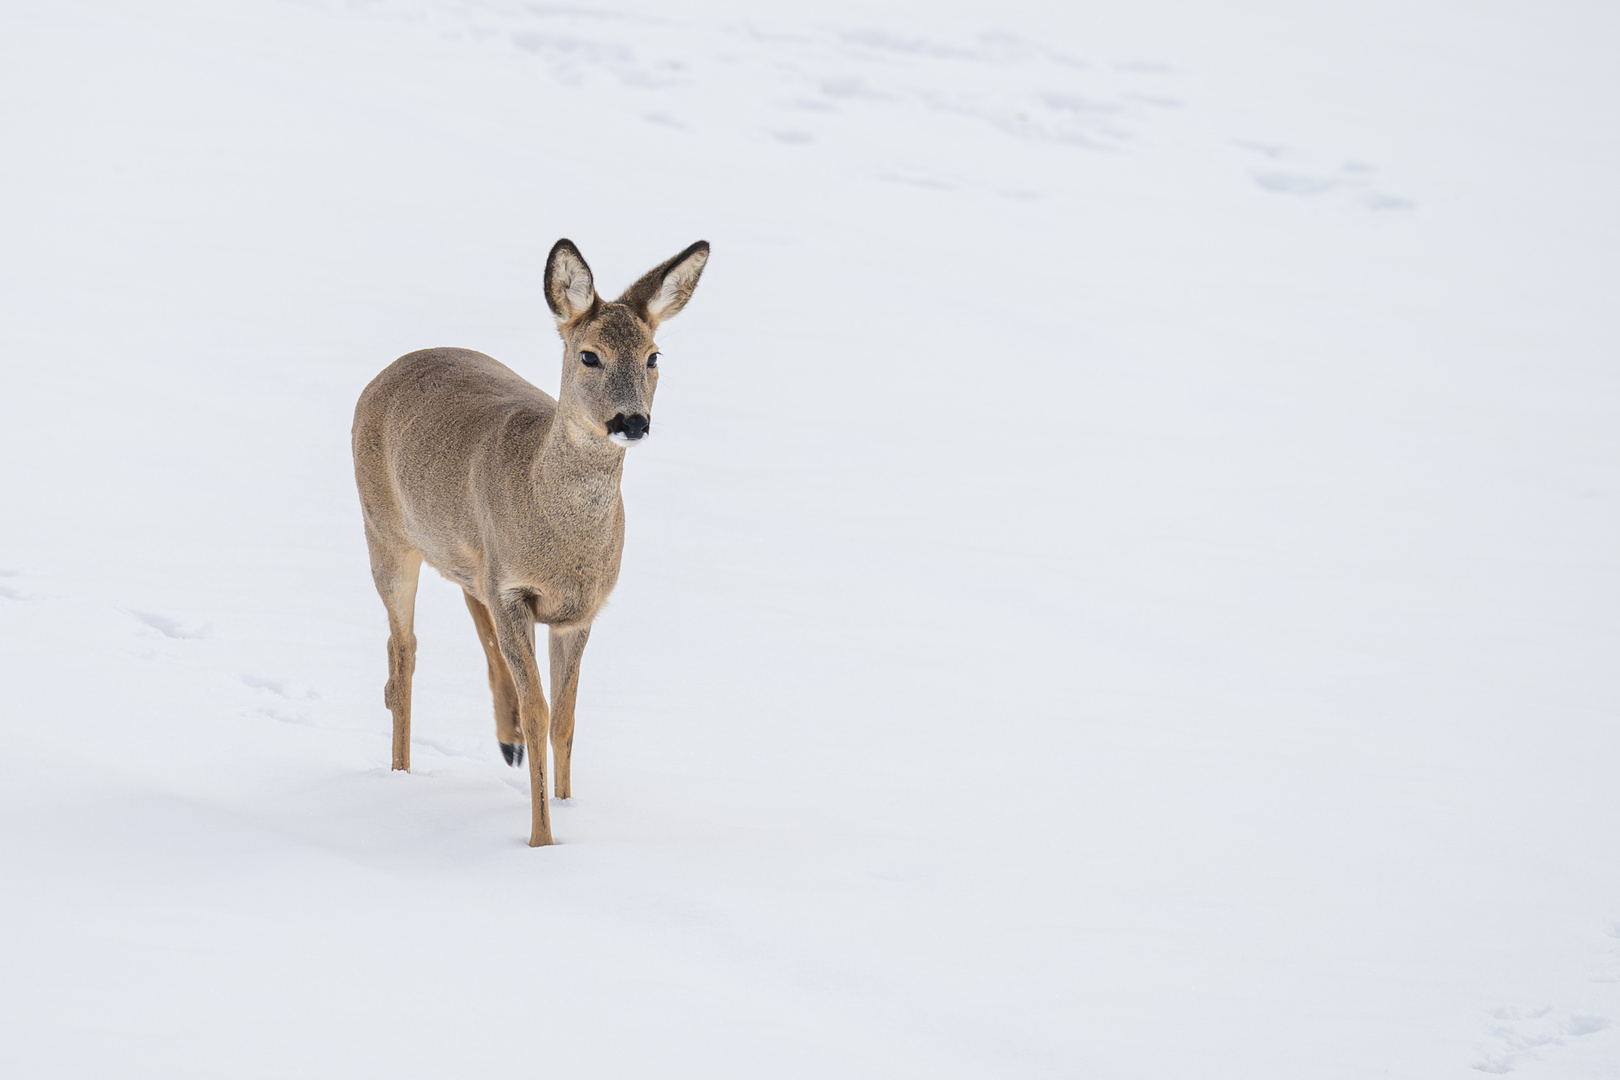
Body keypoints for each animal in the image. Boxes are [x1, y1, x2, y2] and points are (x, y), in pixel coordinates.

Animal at [351, 238, 706, 841]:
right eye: (589, 355)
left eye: (654, 356)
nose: (632, 422)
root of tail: (387, 371)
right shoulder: (513, 591)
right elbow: (540, 710)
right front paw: (542, 838)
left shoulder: (579, 609)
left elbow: (564, 718)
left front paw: (565, 806)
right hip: (386, 532)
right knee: (403, 654)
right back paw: (401, 775)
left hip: (469, 557)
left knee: (469, 613)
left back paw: (506, 742)